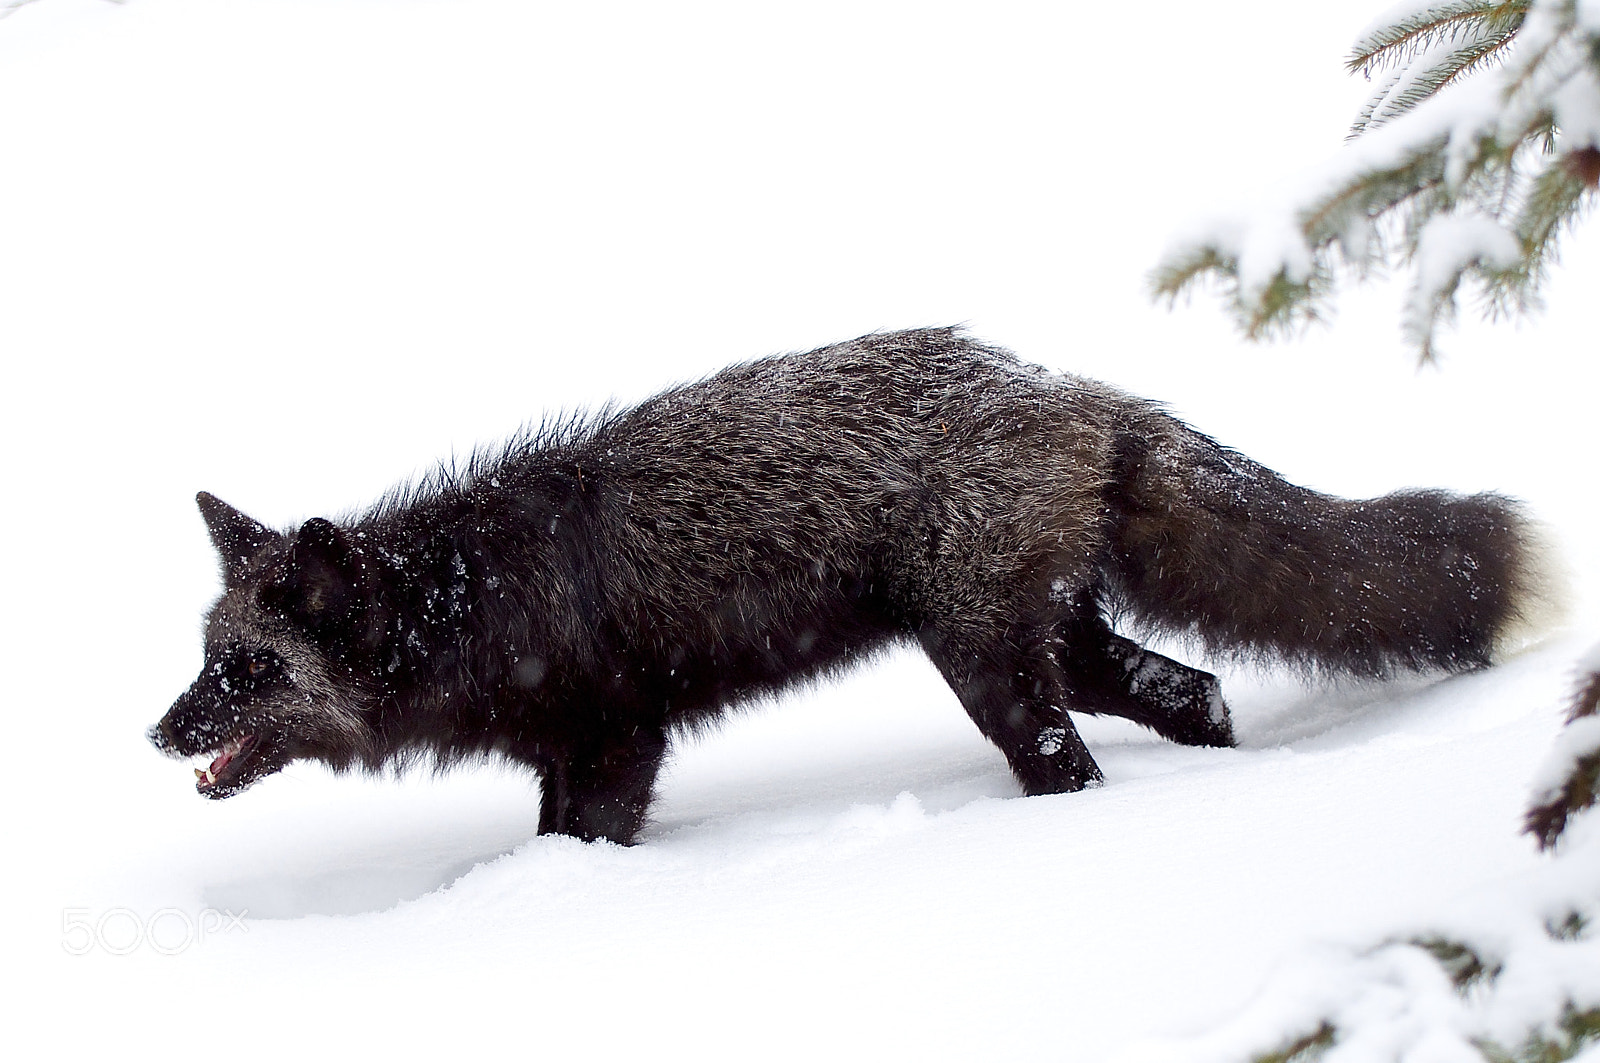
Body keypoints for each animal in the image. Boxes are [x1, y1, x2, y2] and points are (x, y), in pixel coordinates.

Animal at [149, 328, 1552, 844]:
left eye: (249, 669)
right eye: (206, 658)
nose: (159, 735)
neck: (474, 597)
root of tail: (1070, 385)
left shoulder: (614, 738)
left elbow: (578, 842)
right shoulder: (571, 746)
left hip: (991, 664)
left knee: (1070, 755)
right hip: (1056, 639)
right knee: (1195, 690)